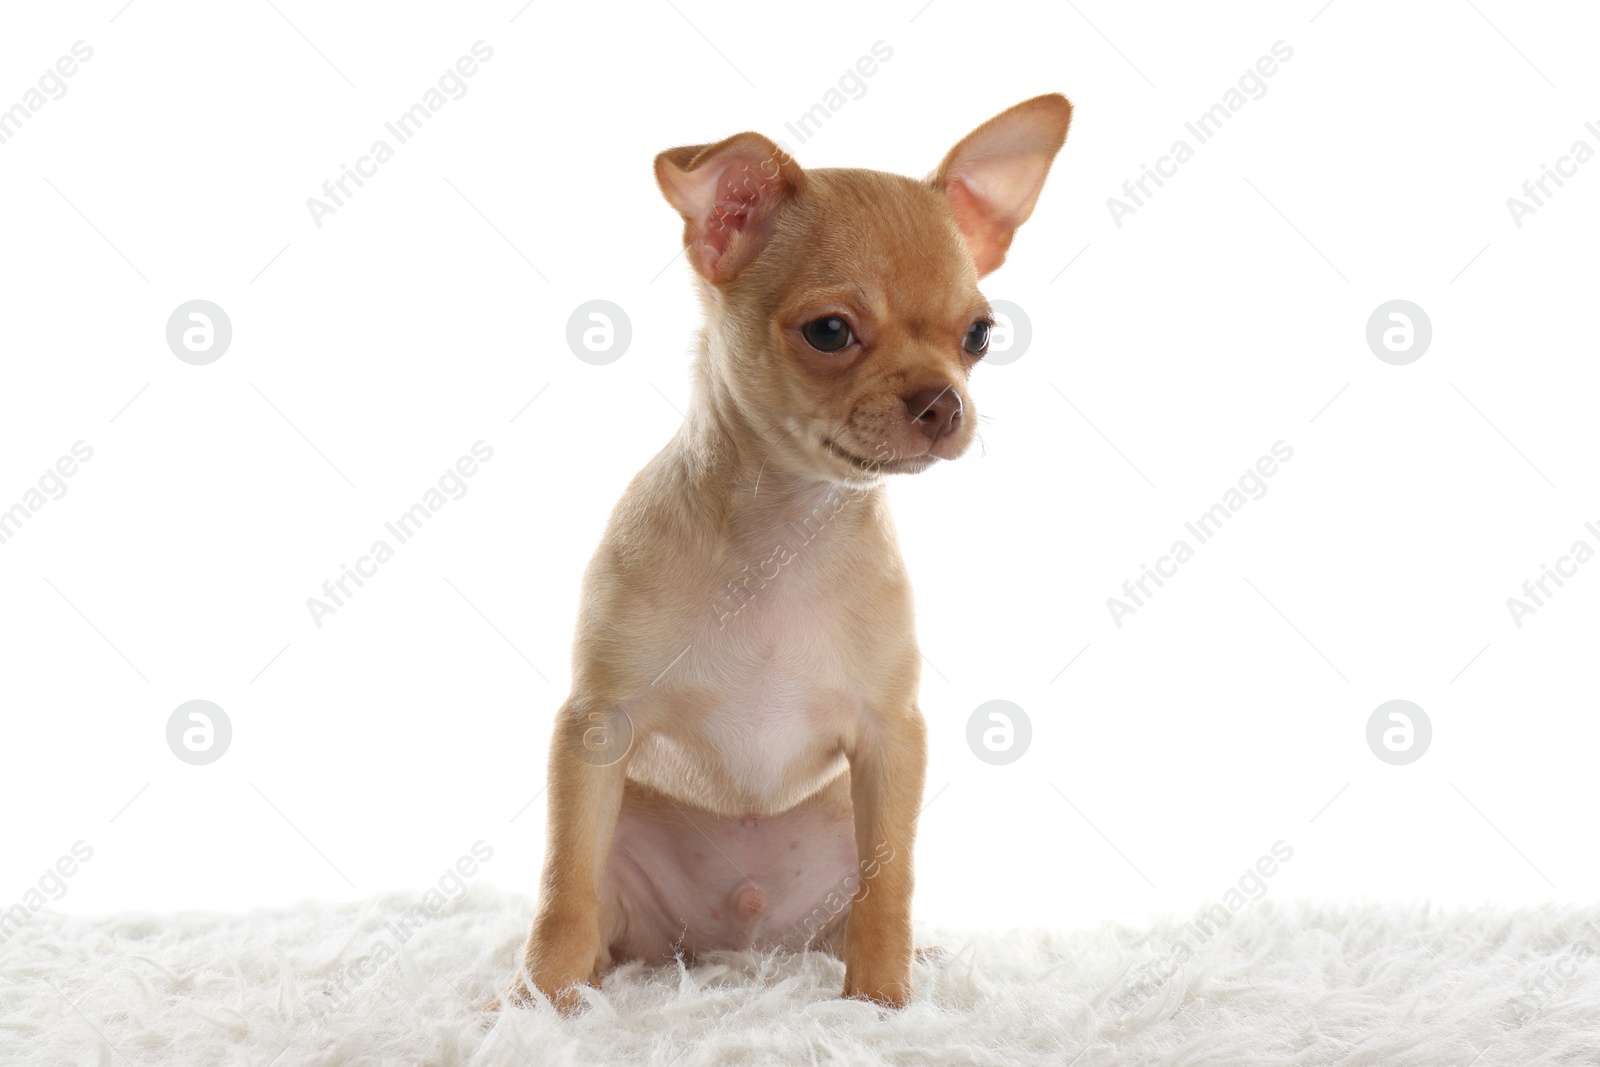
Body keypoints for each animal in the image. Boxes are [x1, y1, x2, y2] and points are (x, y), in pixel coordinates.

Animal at [505, 95, 1068, 1017]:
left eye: (981, 335)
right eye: (830, 332)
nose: (944, 400)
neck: (786, 533)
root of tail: (740, 947)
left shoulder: (890, 737)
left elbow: (890, 888)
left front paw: (881, 1003)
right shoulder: (595, 731)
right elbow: (563, 886)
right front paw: (532, 1008)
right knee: (596, 914)